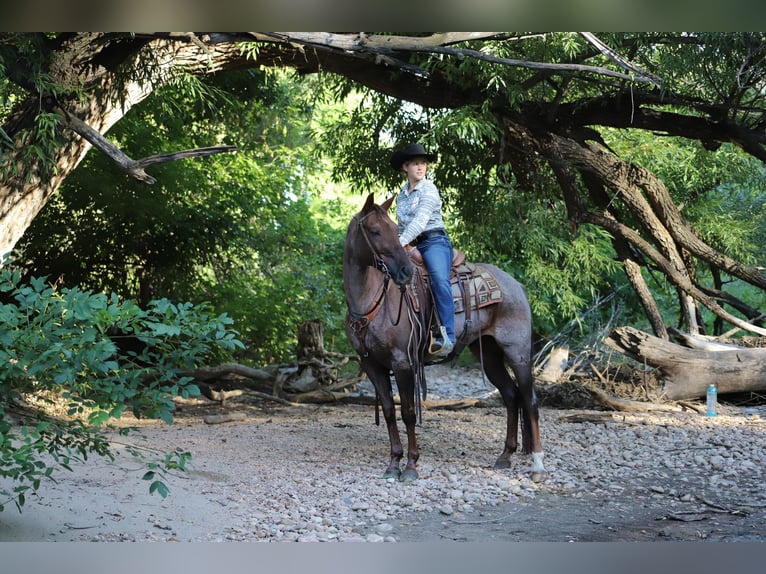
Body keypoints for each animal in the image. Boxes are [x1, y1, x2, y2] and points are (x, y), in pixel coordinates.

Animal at [342, 196, 544, 484]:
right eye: (375, 231)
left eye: (394, 229)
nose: (404, 271)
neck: (371, 302)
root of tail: (516, 285)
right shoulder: (372, 365)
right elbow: (390, 411)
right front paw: (393, 464)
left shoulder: (403, 363)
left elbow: (409, 413)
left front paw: (411, 466)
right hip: (490, 356)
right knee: (511, 396)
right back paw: (505, 456)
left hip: (518, 353)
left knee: (530, 400)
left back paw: (538, 465)